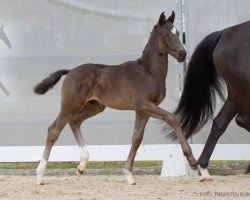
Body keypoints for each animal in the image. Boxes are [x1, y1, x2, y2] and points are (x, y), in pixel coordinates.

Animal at [33, 11, 197, 185]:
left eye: (178, 33)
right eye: (166, 35)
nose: (182, 54)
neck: (148, 72)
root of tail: (70, 71)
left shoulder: (143, 110)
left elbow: (137, 138)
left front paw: (129, 174)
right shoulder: (143, 105)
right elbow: (172, 118)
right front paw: (192, 161)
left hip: (95, 106)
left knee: (75, 122)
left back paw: (82, 166)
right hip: (70, 105)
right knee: (53, 131)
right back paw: (40, 175)